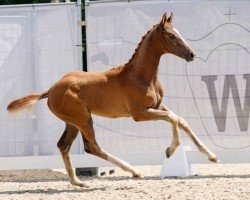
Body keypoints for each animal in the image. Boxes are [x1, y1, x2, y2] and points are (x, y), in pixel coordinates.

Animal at [7, 12, 219, 188]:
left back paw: (78, 182)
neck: (140, 76)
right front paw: (170, 150)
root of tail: (51, 90)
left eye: (178, 32)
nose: (191, 54)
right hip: (83, 119)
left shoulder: (158, 105)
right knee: (91, 146)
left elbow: (181, 120)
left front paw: (212, 156)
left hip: (72, 122)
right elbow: (173, 119)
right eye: (171, 35)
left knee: (64, 145)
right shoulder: (139, 114)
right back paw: (134, 171)